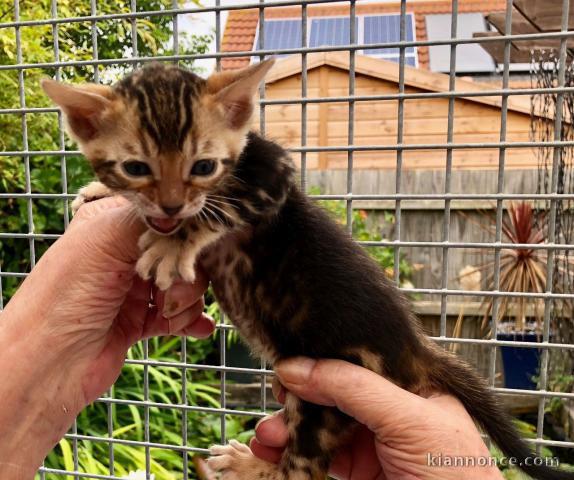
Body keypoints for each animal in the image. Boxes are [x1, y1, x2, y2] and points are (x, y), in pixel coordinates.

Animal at [41, 62, 574, 480]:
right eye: (134, 168)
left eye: (204, 165)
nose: (170, 207)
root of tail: (415, 348)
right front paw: (99, 192)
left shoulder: (272, 173)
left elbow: (221, 203)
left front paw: (175, 241)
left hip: (323, 407)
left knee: (301, 471)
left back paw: (249, 467)